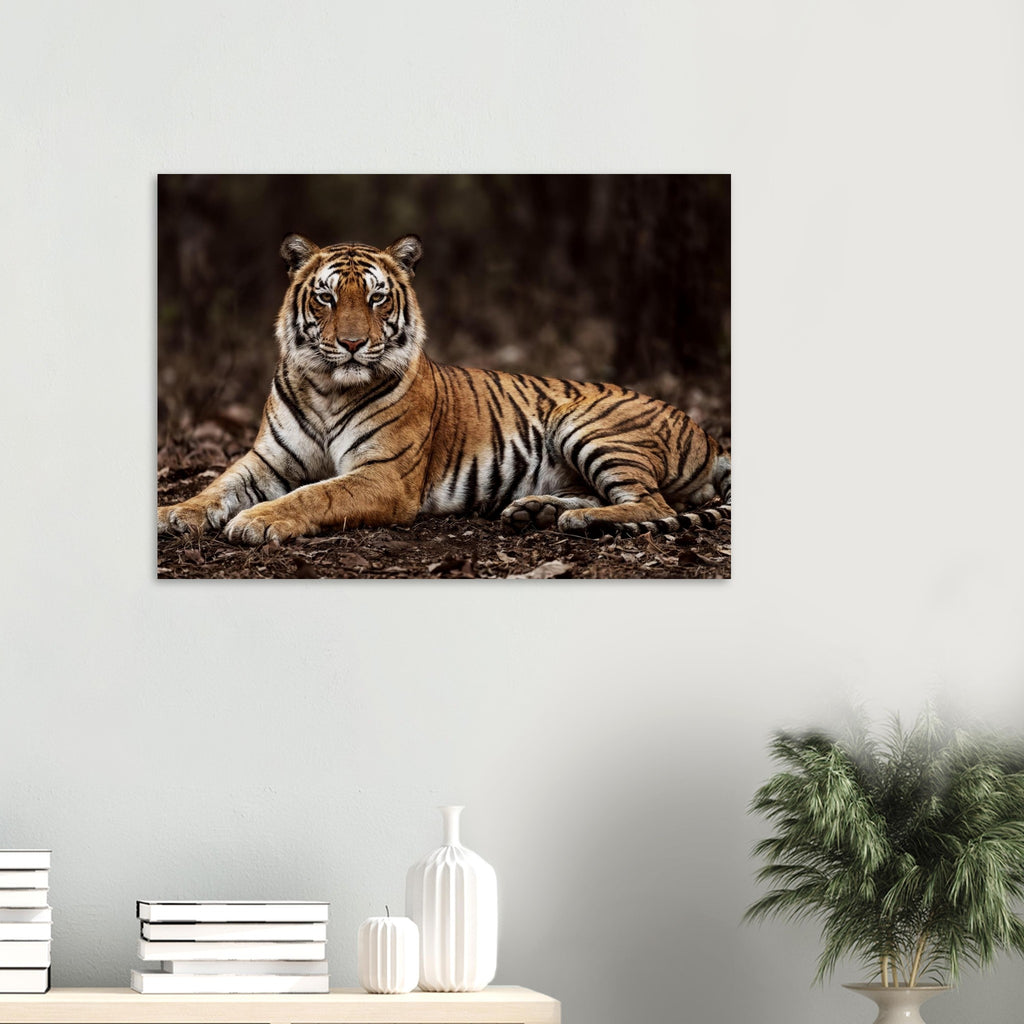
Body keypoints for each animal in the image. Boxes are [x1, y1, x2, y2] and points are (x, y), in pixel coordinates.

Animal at [157, 234, 731, 546]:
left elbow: (315, 494)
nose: (351, 344)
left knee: (655, 505)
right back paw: (538, 511)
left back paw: (579, 519)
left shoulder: (383, 475)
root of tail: (708, 432)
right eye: (326, 298)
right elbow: (218, 485)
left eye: (376, 298)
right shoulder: (267, 459)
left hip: (586, 422)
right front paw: (173, 513)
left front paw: (257, 521)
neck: (327, 388)